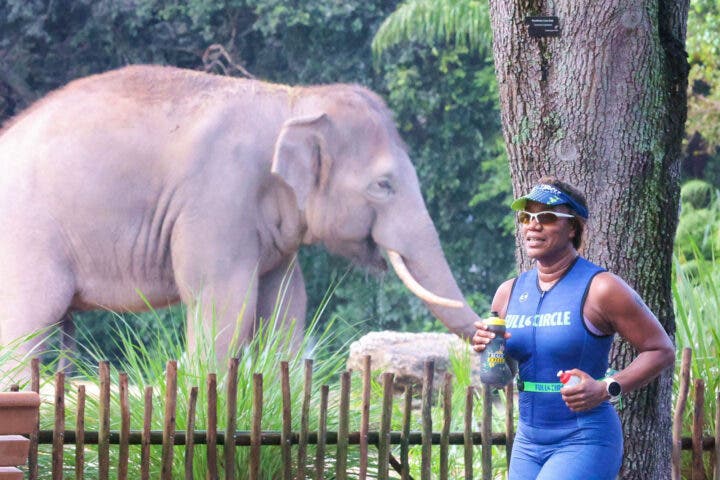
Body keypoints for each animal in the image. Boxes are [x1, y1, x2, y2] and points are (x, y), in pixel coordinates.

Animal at [0, 65, 482, 378]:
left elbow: (286, 303)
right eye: (383, 185)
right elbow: (226, 300)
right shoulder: (217, 198)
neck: (292, 99)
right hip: (27, 237)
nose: (487, 333)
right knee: (27, 323)